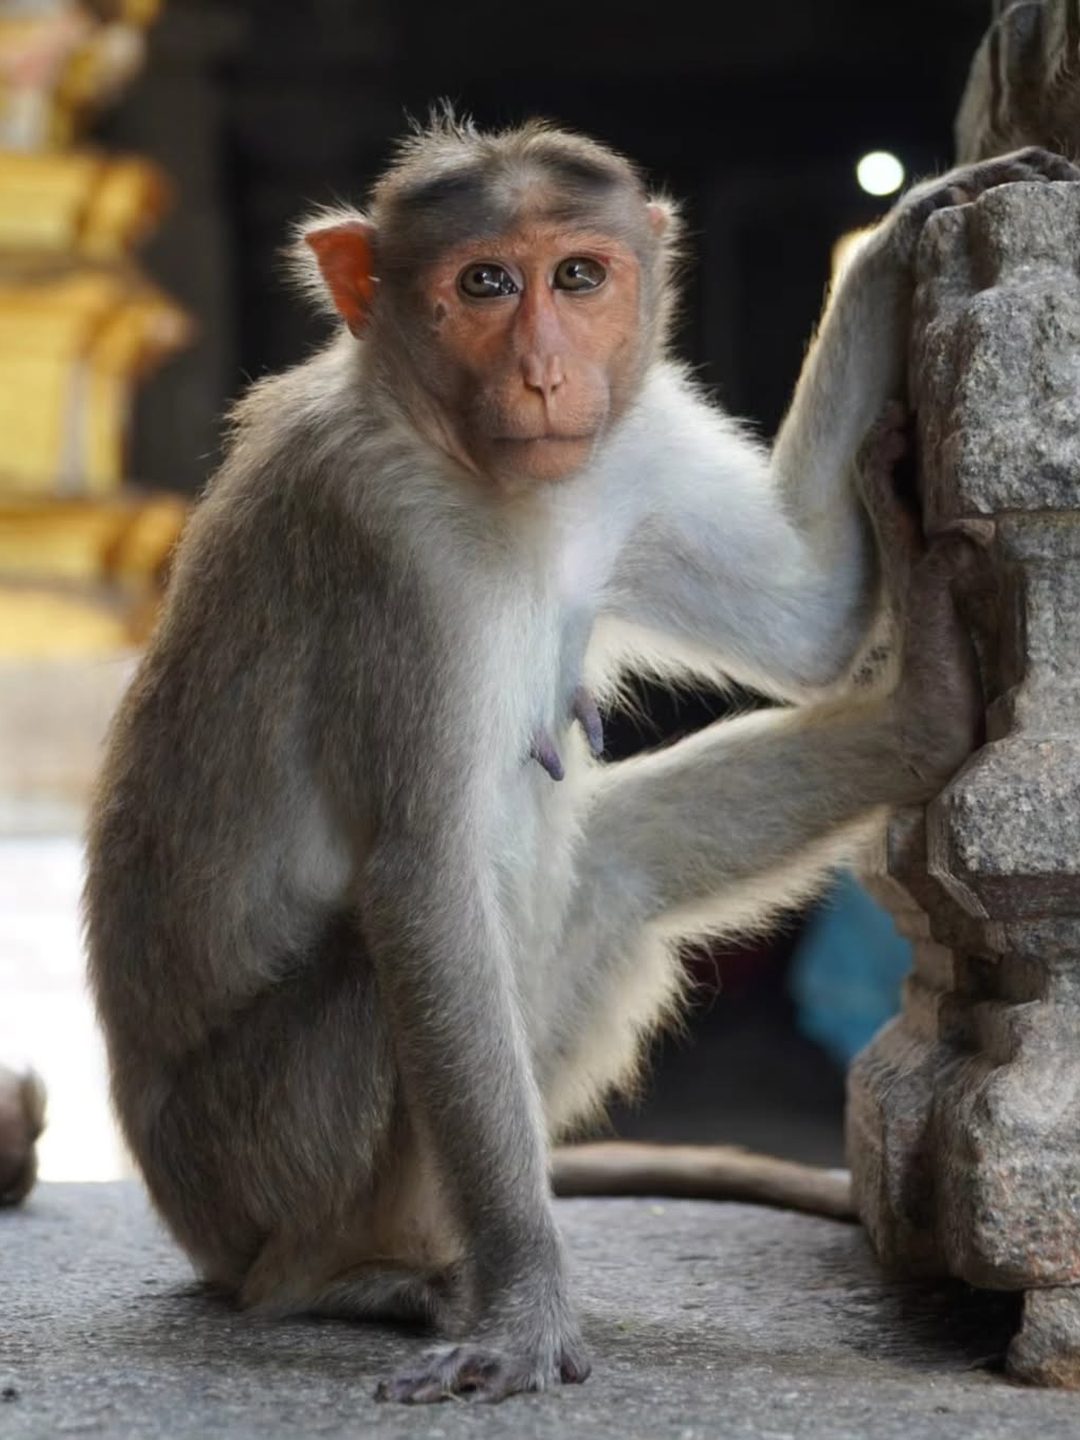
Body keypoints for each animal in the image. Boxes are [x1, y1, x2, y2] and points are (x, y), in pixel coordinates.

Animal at [82, 118, 1078, 1404]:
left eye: (578, 277)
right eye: (484, 284)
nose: (549, 374)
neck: (463, 463)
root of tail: (188, 1217)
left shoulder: (628, 446)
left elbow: (810, 612)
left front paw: (906, 231)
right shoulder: (384, 544)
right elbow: (422, 884)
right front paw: (527, 1305)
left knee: (616, 864)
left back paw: (926, 714)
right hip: (244, 1158)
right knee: (386, 962)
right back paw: (341, 1278)